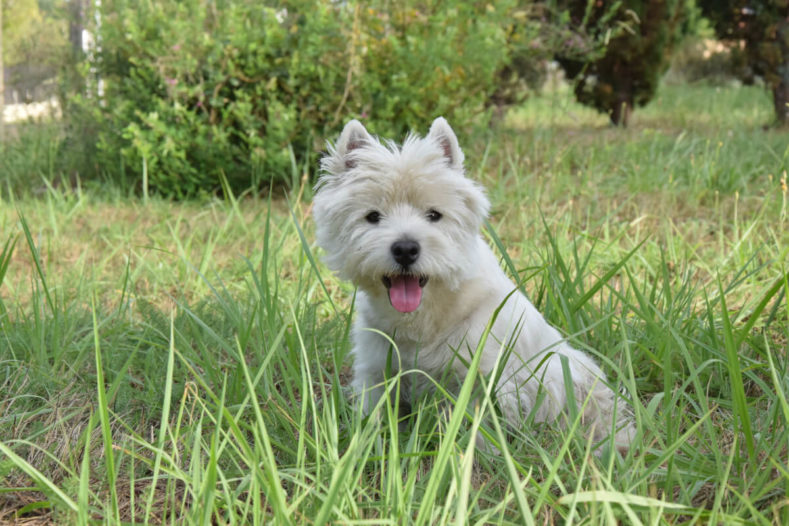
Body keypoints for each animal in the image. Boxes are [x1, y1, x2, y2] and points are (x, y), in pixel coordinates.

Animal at [314, 117, 636, 452]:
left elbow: (475, 427)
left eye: (434, 215)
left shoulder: (483, 377)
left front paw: (472, 454)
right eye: (373, 216)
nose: (405, 249)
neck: (425, 319)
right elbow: (373, 416)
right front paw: (364, 446)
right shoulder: (376, 370)